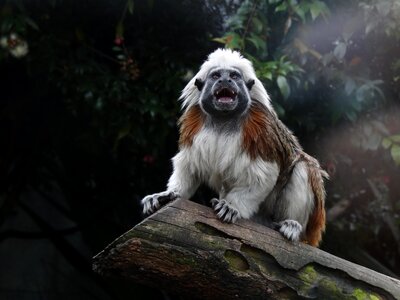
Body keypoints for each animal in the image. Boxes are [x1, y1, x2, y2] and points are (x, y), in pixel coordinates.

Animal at [141, 48, 328, 246]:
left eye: (234, 76)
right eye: (216, 76)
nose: (225, 81)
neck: (224, 120)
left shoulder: (260, 125)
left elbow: (263, 174)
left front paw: (231, 207)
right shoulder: (194, 122)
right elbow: (189, 165)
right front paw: (168, 194)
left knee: (303, 166)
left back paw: (292, 225)